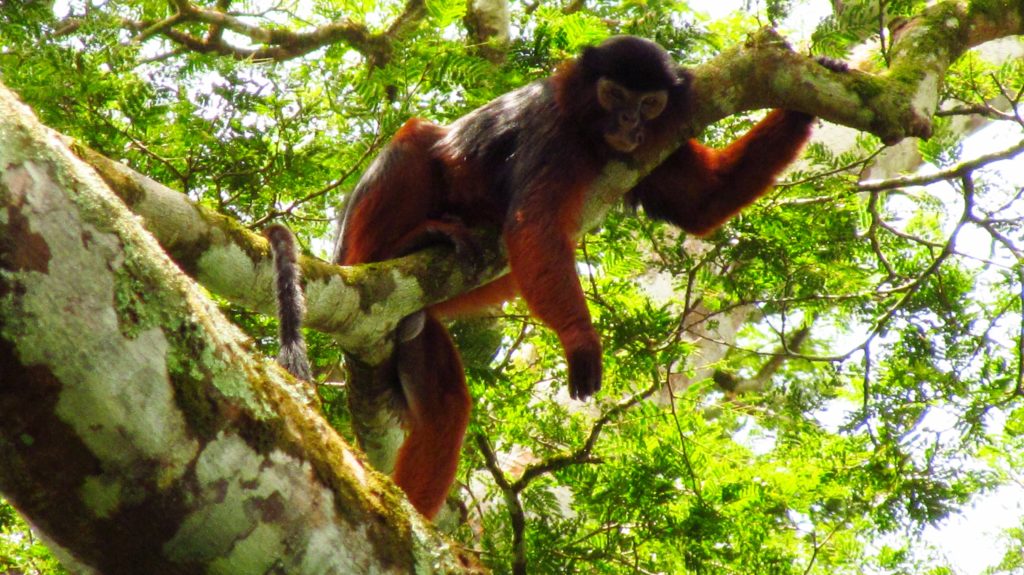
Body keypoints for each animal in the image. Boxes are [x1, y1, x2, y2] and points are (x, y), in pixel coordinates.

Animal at [272, 38, 815, 517]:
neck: (589, 133)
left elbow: (703, 203)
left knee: (446, 408)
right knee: (416, 138)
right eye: (614, 95)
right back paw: (403, 244)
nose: (629, 122)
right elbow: (531, 227)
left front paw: (806, 91)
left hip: (417, 324)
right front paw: (579, 339)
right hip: (359, 252)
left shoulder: (659, 142)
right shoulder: (555, 134)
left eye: (649, 104)